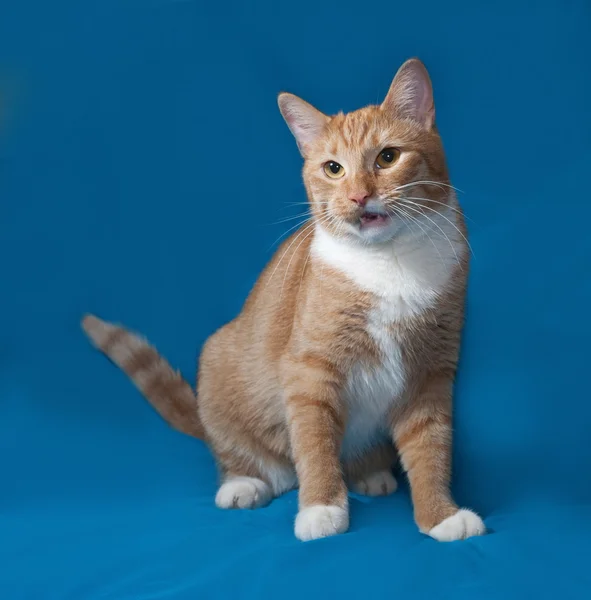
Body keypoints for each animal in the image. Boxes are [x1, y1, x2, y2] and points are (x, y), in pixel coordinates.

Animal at [84, 58, 490, 540]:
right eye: (333, 168)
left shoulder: (431, 371)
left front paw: (440, 515)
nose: (359, 195)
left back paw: (370, 474)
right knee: (249, 460)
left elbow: (431, 447)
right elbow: (314, 445)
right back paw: (244, 484)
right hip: (218, 362)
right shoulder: (309, 369)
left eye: (388, 157)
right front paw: (321, 509)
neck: (389, 264)